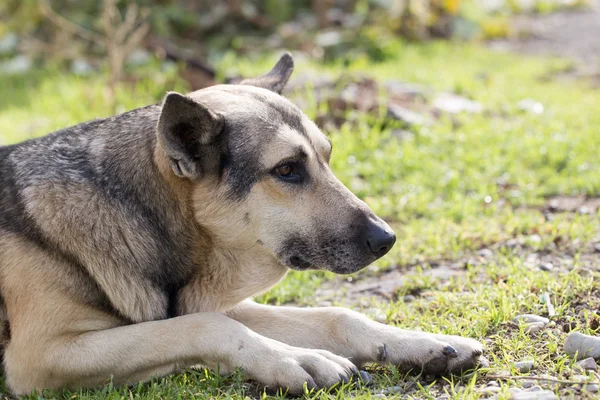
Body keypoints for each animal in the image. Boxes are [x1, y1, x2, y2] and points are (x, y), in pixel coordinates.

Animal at [0, 52, 482, 394]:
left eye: (327, 156)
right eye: (287, 169)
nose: (387, 239)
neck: (147, 217)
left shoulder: (216, 300)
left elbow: (338, 317)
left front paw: (416, 342)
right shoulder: (43, 356)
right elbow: (207, 326)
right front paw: (297, 358)